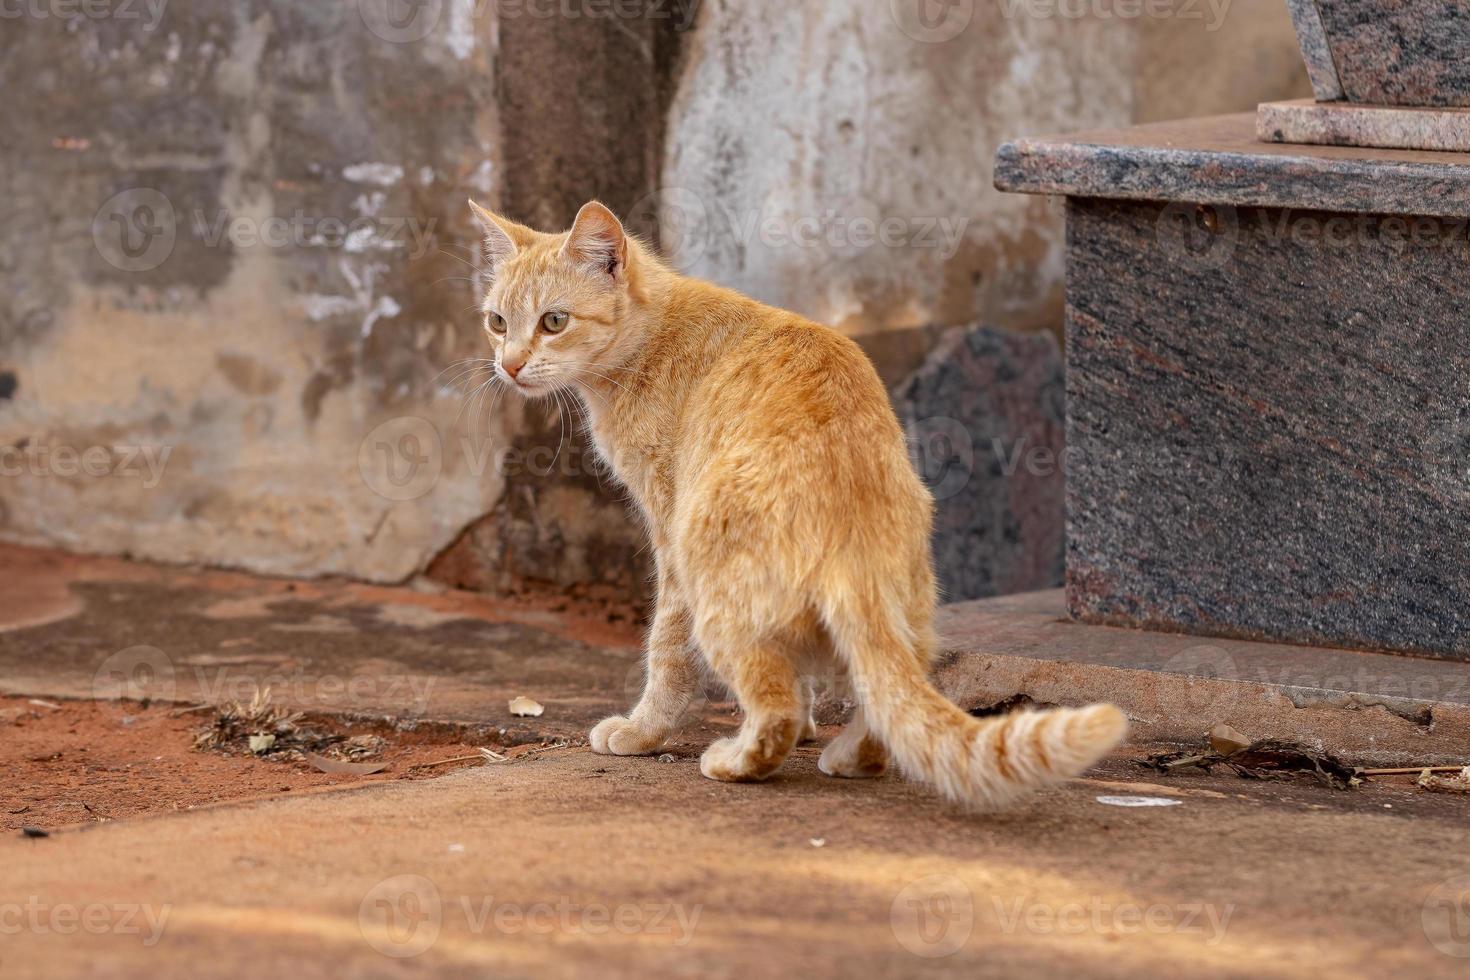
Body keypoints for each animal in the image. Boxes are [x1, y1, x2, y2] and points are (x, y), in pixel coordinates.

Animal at [467, 201, 1123, 811]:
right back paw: (849, 754)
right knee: (884, 695)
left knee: (771, 708)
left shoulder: (668, 537)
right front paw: (813, 723)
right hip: (903, 612)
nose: (510, 364)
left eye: (554, 321)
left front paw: (641, 731)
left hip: (711, 587)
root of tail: (854, 528)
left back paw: (734, 760)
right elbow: (805, 675)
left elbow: (667, 653)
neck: (652, 337)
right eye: (497, 321)